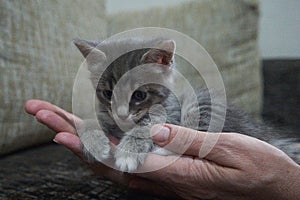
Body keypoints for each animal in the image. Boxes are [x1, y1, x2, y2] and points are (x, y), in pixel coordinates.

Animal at [73, 37, 300, 170]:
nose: (121, 115)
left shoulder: (171, 113)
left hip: (201, 105)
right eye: (107, 93)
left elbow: (147, 126)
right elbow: (91, 120)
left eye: (139, 95)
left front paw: (129, 152)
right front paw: (94, 141)